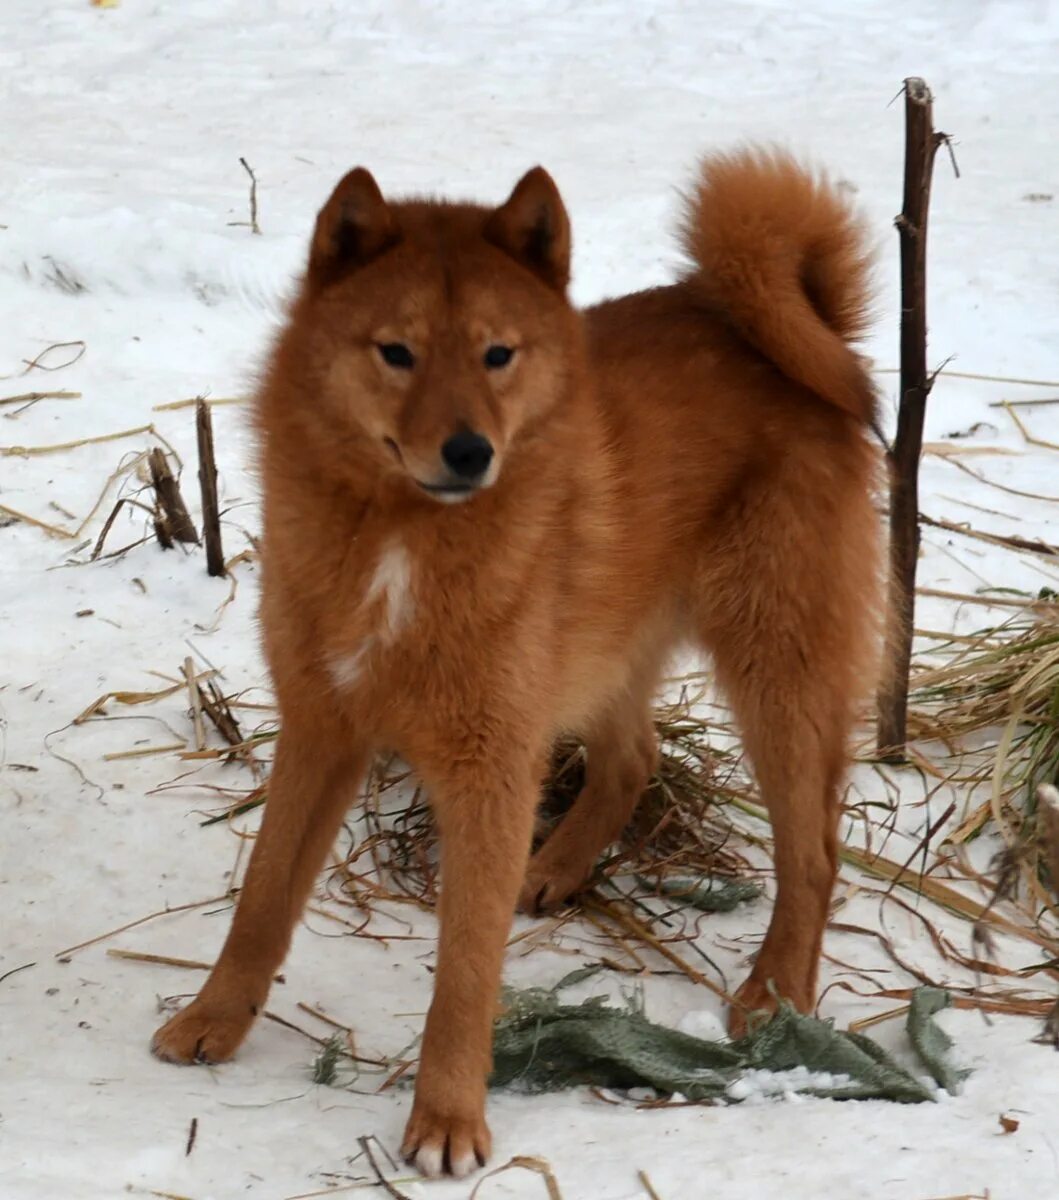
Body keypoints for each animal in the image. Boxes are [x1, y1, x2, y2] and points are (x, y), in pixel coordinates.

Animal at [152, 150, 878, 1180]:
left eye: (498, 354)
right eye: (397, 351)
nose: (468, 451)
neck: (405, 538)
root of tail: (772, 325)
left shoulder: (488, 761)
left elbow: (464, 969)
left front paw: (449, 1118)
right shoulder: (322, 727)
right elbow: (261, 898)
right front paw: (214, 1018)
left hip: (773, 672)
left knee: (812, 851)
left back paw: (774, 992)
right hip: (597, 650)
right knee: (636, 756)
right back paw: (557, 867)